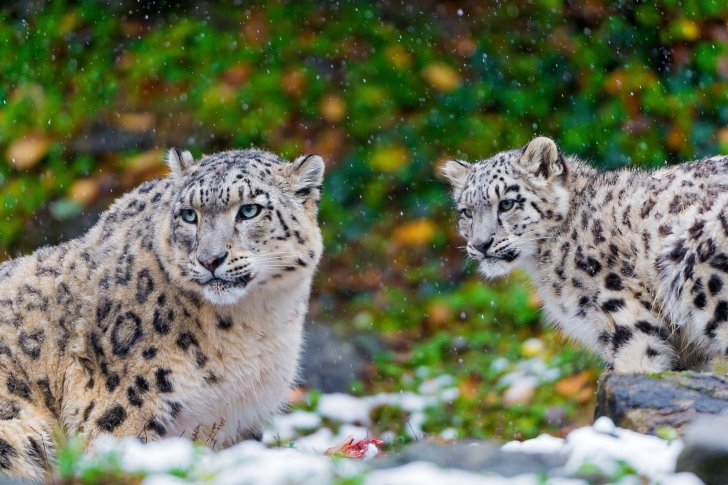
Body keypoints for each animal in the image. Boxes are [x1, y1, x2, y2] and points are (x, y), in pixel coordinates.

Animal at [0, 147, 324, 476]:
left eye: (249, 210)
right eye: (189, 214)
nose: (209, 259)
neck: (253, 324)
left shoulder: (242, 420)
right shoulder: (125, 403)